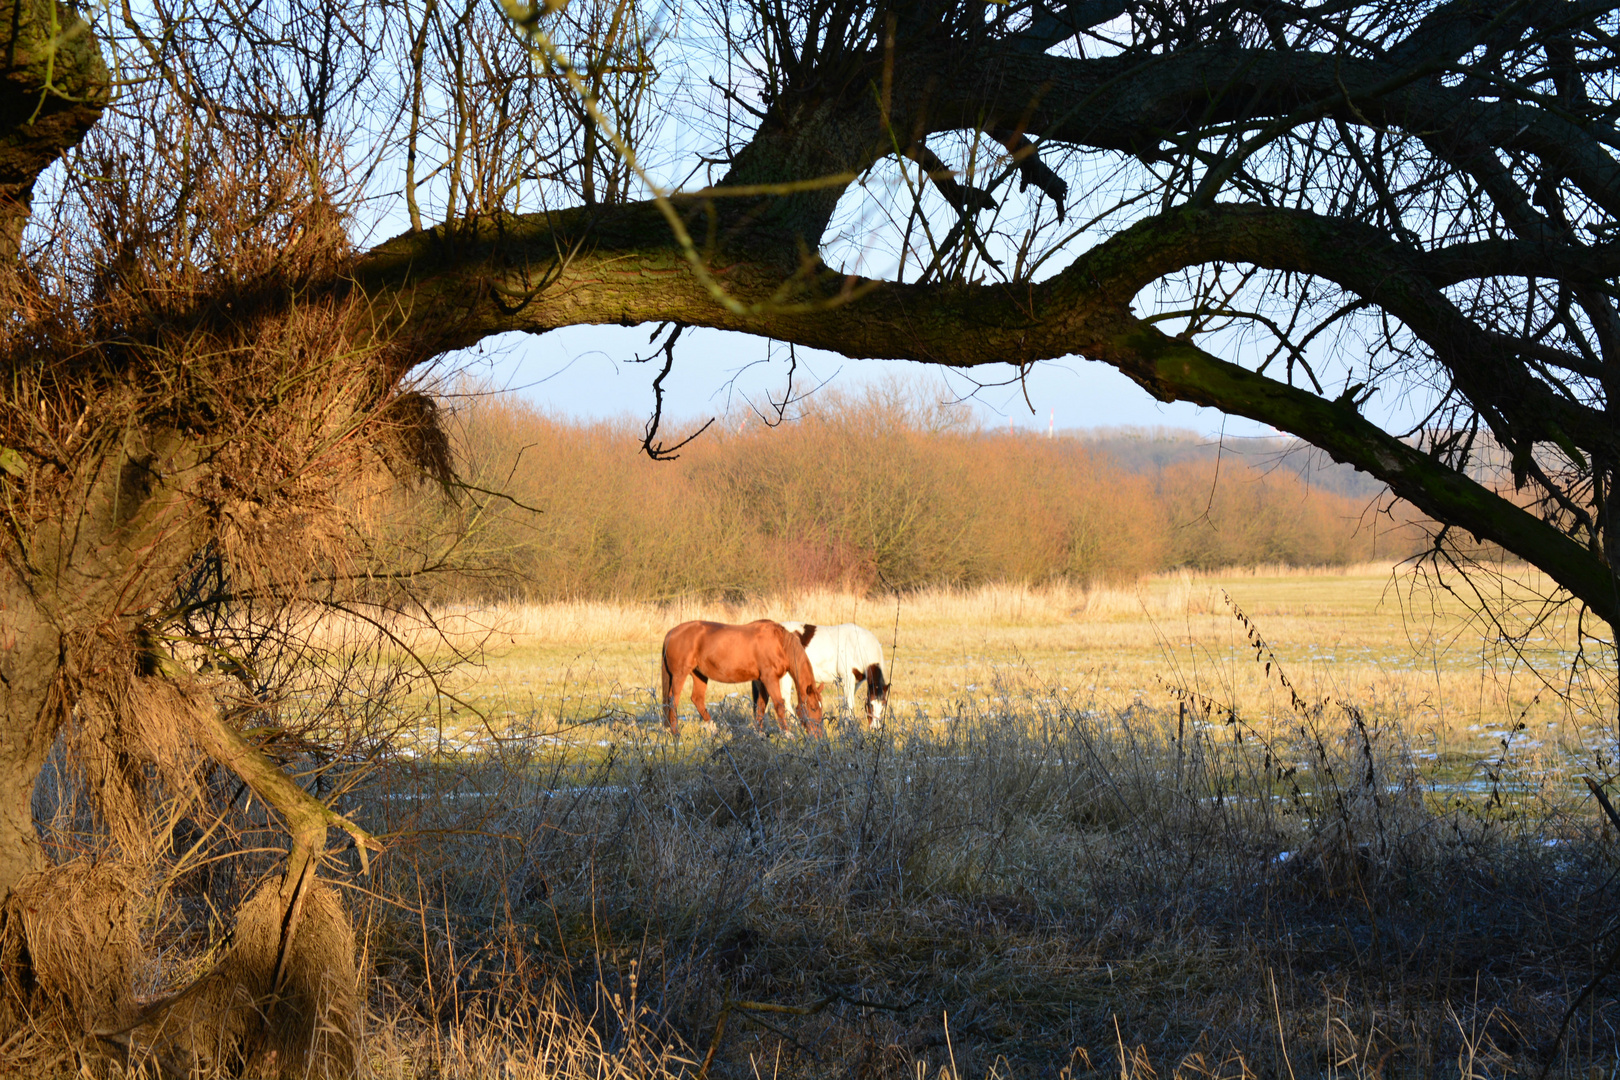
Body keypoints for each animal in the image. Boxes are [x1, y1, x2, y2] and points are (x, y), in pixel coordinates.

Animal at [657, 621, 822, 738]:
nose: (819, 737)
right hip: (680, 674)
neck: (780, 644)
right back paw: (676, 733)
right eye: (813, 708)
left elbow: (761, 706)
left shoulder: (762, 681)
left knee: (697, 699)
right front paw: (788, 734)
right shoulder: (770, 679)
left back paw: (714, 729)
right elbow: (779, 705)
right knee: (672, 700)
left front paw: (759, 733)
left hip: (699, 675)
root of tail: (671, 633)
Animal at [751, 621, 894, 731]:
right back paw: (795, 725)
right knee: (784, 698)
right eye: (870, 705)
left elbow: (848, 702)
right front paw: (848, 726)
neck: (858, 644)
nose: (874, 729)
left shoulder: (856, 681)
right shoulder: (847, 678)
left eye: (883, 706)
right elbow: (849, 703)